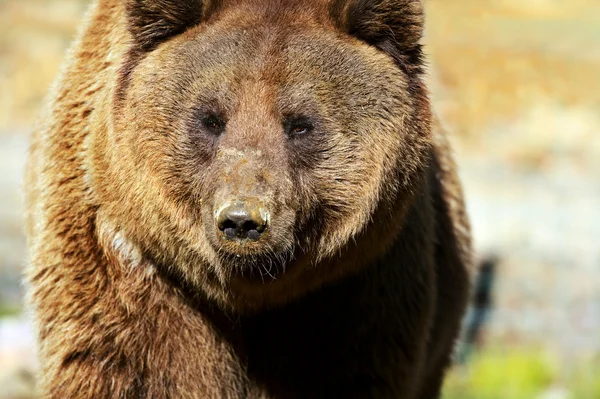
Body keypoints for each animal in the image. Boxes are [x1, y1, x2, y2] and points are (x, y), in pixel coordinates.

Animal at [24, 0, 474, 398]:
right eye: (210, 118)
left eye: (300, 124)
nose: (242, 220)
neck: (251, 297)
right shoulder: (130, 275)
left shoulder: (360, 291)